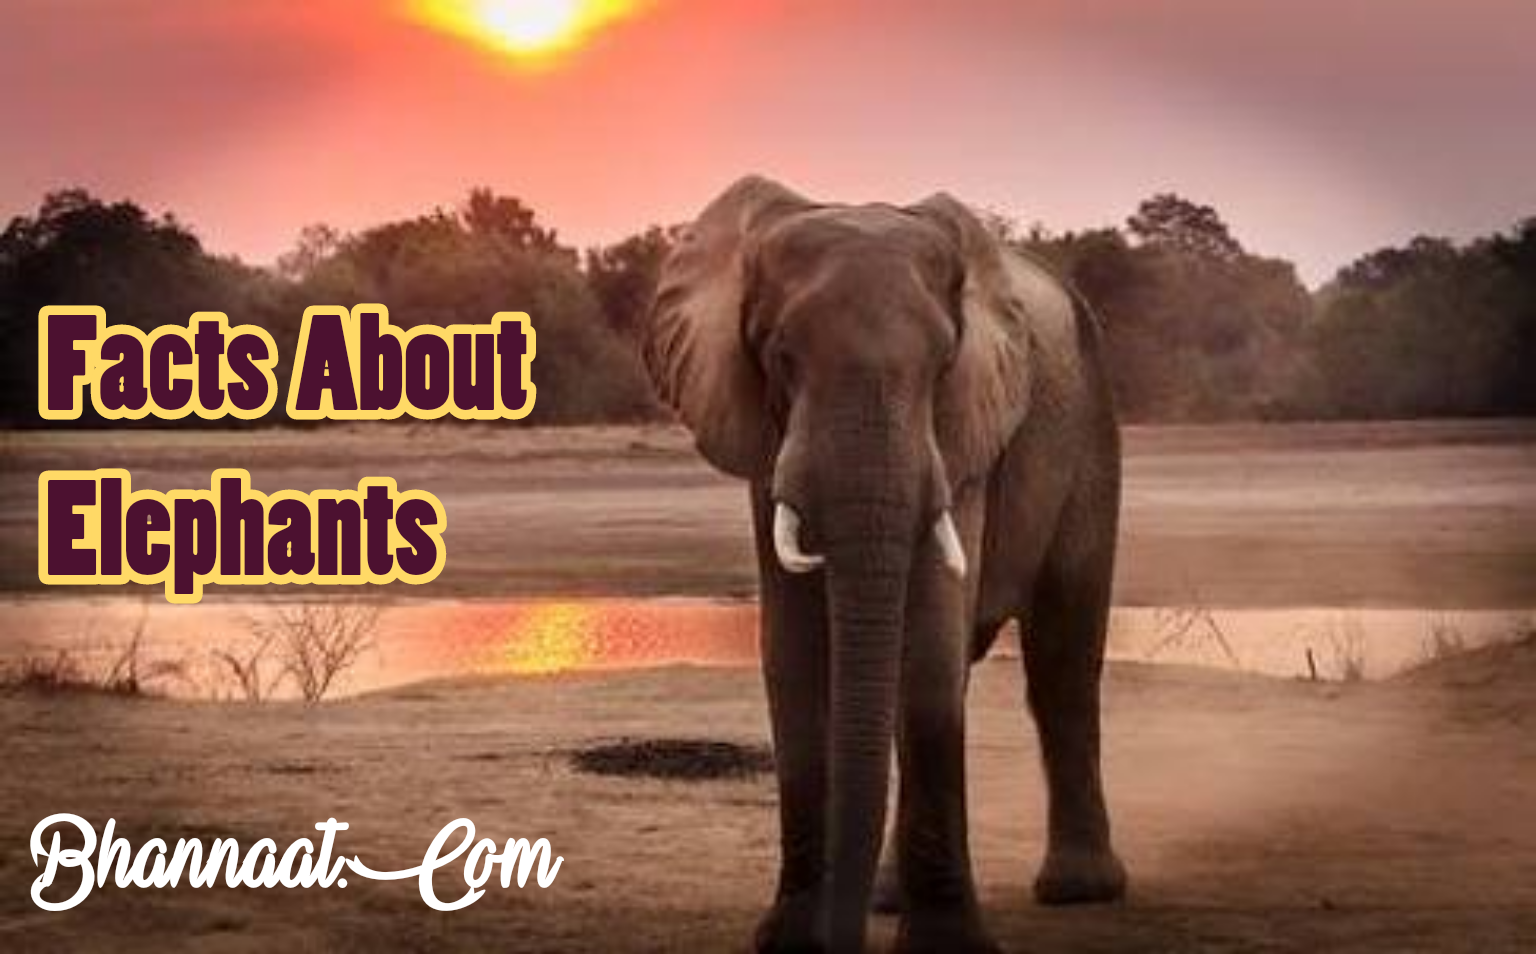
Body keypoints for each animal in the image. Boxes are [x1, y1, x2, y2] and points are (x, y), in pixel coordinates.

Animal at [642, 175, 1125, 954]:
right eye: (780, 357)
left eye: (942, 364)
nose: (838, 938)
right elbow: (794, 653)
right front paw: (792, 941)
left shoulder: (963, 429)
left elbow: (928, 645)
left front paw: (946, 949)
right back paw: (890, 898)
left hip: (1090, 429)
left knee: (1063, 656)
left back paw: (1078, 890)